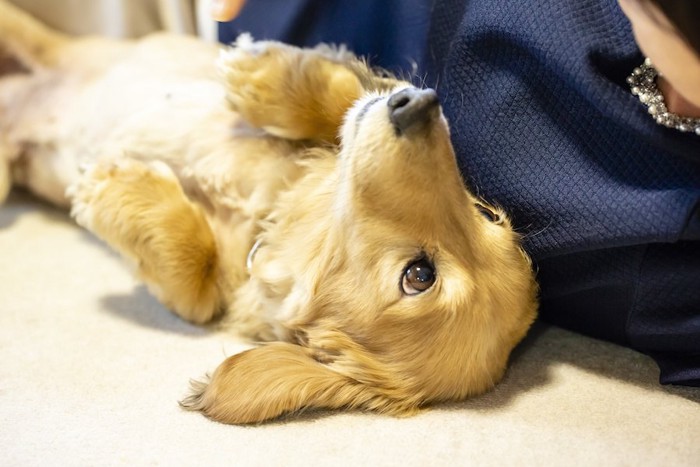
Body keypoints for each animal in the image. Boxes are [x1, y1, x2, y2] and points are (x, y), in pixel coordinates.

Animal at [0, 0, 540, 424]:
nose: (420, 103)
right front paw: (259, 72)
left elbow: (194, 284)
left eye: (420, 275)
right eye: (488, 216)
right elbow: (345, 95)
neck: (268, 219)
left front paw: (114, 183)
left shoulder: (205, 295)